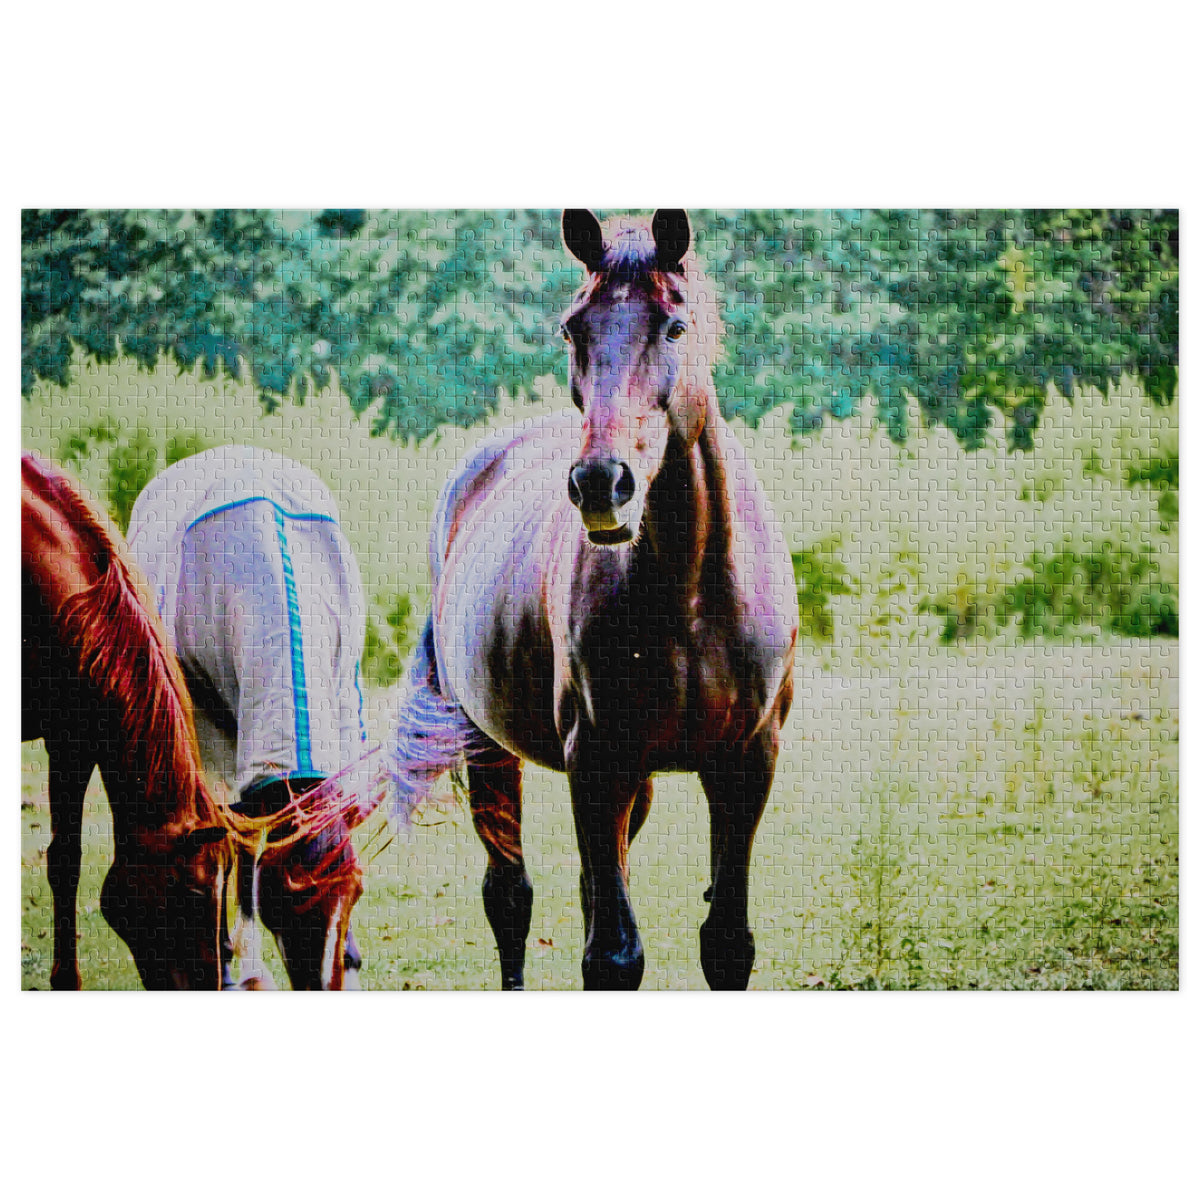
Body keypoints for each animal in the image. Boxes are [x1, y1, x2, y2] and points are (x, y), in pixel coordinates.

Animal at [128, 446, 370, 990]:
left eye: (354, 893)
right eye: (285, 903)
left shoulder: (341, 699)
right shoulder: (209, 729)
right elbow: (231, 837)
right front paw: (236, 963)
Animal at [389, 209, 798, 989]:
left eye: (674, 326)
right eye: (573, 328)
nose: (601, 484)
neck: (691, 591)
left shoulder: (746, 764)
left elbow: (726, 944)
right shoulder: (597, 761)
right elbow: (611, 954)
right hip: (487, 745)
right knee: (510, 898)